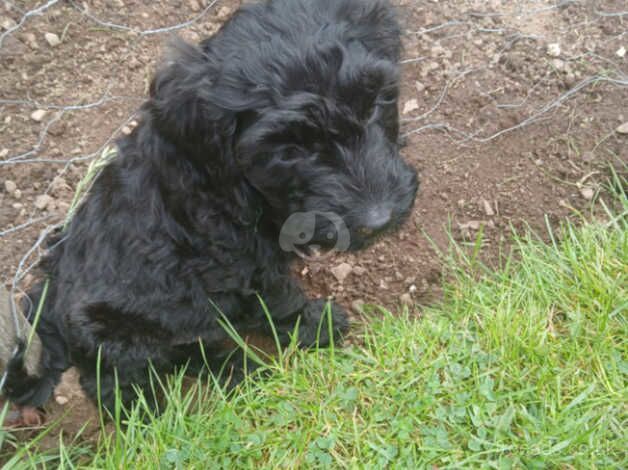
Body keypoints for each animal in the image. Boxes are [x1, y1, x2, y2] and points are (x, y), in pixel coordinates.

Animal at [4, 0, 420, 412]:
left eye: (374, 104)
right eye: (289, 150)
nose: (379, 219)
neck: (233, 187)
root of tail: (49, 302)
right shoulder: (243, 268)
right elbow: (279, 301)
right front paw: (316, 326)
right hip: (113, 329)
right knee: (113, 381)